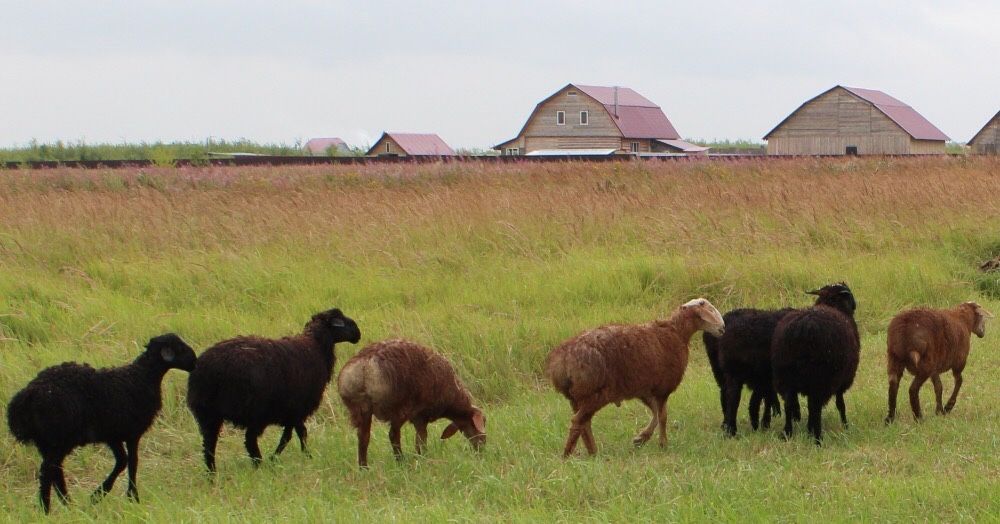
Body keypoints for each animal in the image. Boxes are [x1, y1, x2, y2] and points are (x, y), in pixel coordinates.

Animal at [5, 336, 196, 512]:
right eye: (179, 348)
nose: (194, 362)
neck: (141, 377)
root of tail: (25, 398)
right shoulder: (131, 432)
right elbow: (131, 462)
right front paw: (128, 497)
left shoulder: (113, 435)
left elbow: (123, 461)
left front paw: (101, 495)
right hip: (58, 438)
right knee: (47, 472)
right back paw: (47, 509)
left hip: (49, 442)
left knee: (55, 470)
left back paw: (69, 505)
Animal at [186, 310, 362, 472]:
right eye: (341, 321)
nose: (358, 333)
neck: (315, 347)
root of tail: (205, 370)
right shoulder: (297, 408)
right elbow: (296, 434)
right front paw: (299, 456)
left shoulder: (292, 411)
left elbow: (293, 434)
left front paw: (292, 457)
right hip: (254, 411)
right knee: (249, 441)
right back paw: (259, 465)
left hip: (208, 413)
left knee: (209, 446)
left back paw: (212, 474)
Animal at [338, 338, 486, 468]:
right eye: (481, 423)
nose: (482, 450)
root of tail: (365, 365)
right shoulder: (421, 415)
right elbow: (421, 440)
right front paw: (422, 458)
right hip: (398, 407)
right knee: (393, 435)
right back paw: (401, 462)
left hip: (361, 407)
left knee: (364, 437)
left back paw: (364, 468)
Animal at [544, 298, 724, 458]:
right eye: (709, 308)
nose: (722, 329)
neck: (677, 332)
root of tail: (562, 361)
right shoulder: (662, 389)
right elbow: (663, 416)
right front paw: (663, 444)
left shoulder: (645, 390)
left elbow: (655, 414)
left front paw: (641, 438)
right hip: (596, 393)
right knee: (578, 422)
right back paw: (567, 455)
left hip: (576, 397)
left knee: (584, 423)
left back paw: (592, 452)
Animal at [772, 284, 860, 444]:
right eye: (849, 294)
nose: (855, 305)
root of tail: (802, 329)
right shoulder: (842, 380)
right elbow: (841, 404)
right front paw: (845, 425)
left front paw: (808, 428)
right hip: (820, 378)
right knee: (816, 407)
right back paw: (818, 438)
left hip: (785, 377)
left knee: (789, 404)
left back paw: (788, 433)